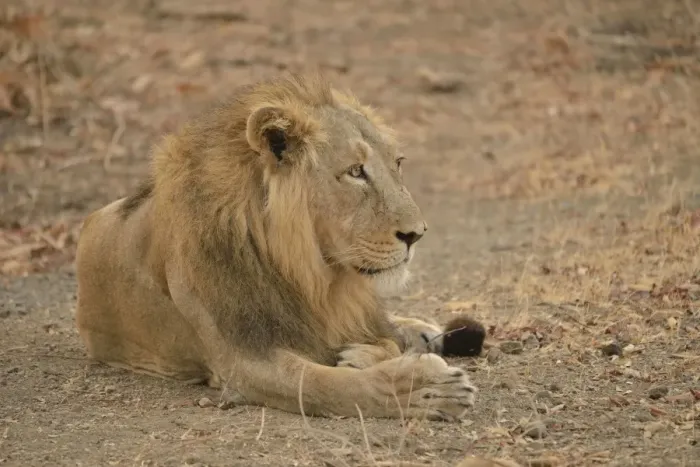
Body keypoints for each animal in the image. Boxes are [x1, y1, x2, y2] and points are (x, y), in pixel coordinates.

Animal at [75, 73, 477, 421]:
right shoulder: (242, 361)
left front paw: (366, 353)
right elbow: (326, 385)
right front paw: (426, 389)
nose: (417, 234)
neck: (312, 272)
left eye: (397, 163)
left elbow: (380, 341)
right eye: (355, 171)